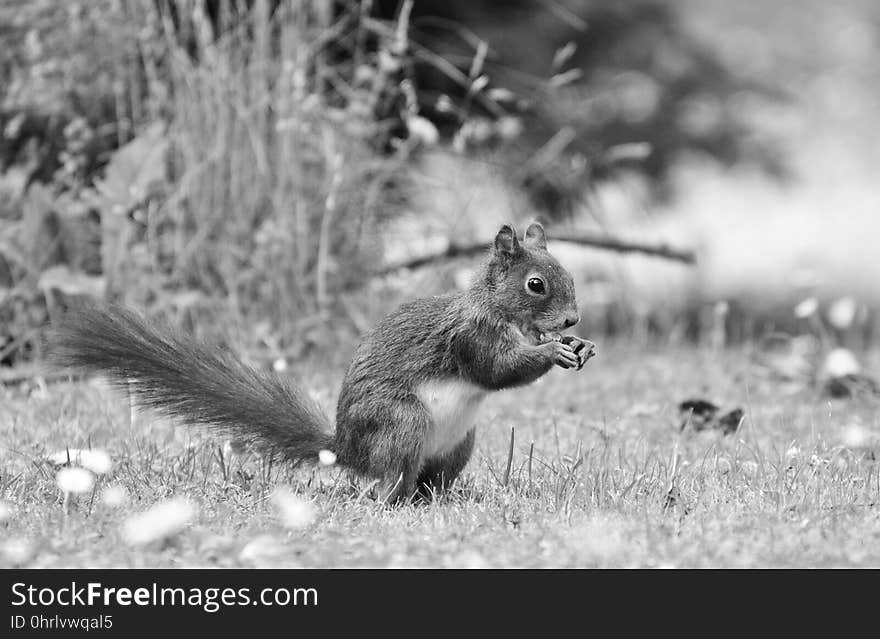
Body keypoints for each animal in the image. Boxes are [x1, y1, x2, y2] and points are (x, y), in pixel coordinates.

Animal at [49, 225, 600, 504]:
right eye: (535, 285)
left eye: (571, 276)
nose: (572, 318)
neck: (500, 312)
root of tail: (348, 450)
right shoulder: (471, 337)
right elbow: (496, 370)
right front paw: (552, 351)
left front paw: (579, 346)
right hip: (401, 422)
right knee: (390, 481)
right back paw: (392, 499)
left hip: (459, 443)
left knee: (429, 481)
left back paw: (449, 499)